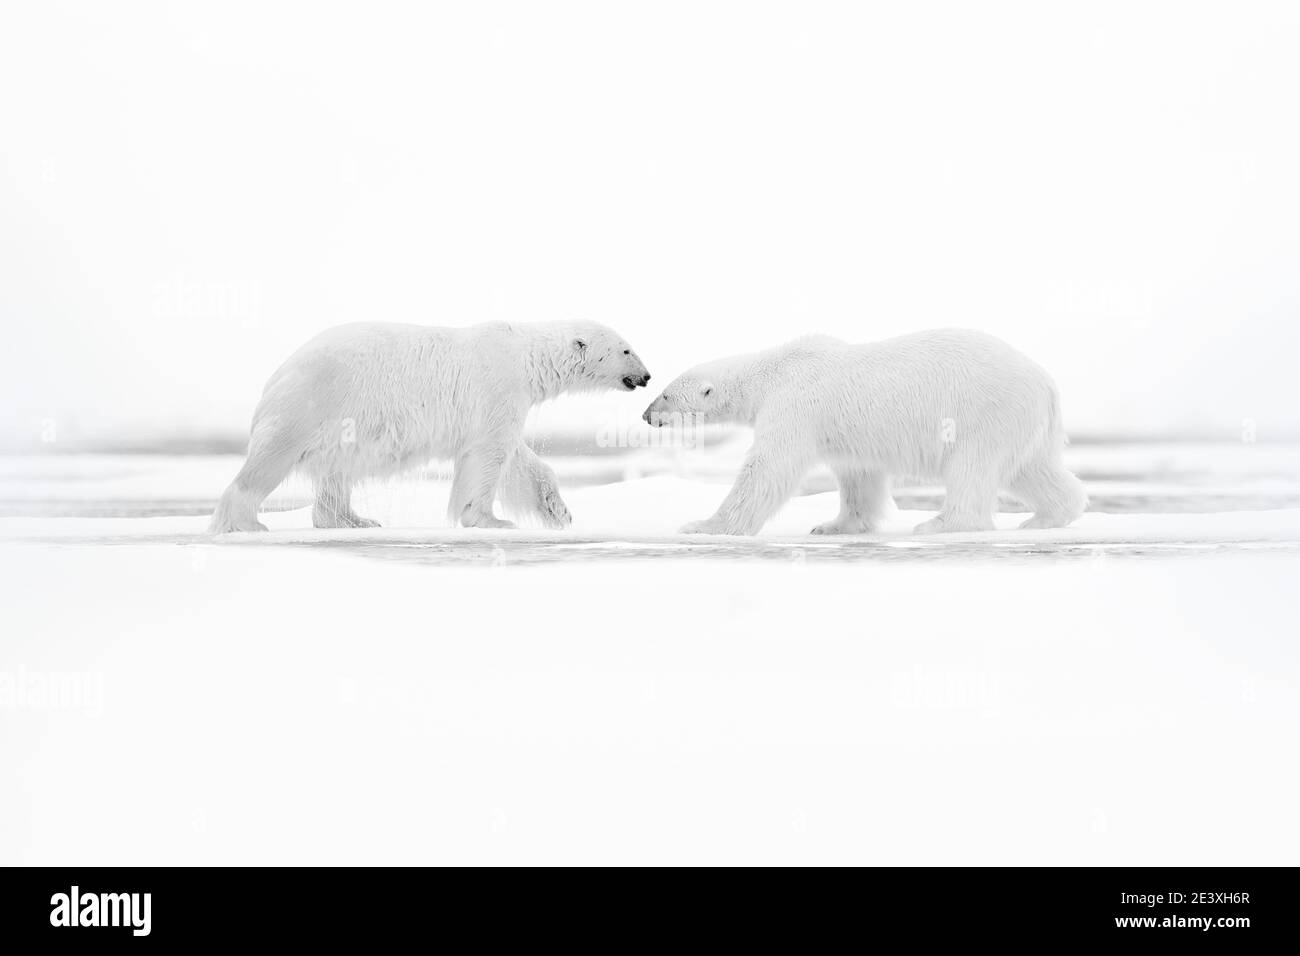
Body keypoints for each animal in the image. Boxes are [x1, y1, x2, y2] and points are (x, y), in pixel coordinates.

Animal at [208, 320, 650, 533]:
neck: (524, 357)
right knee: (270, 460)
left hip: (341, 424)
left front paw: (558, 511)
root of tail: (277, 375)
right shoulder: (497, 388)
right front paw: (489, 520)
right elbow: (488, 458)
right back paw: (246, 521)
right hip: (315, 401)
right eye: (626, 349)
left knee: (337, 471)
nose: (646, 376)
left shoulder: (504, 404)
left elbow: (519, 459)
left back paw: (355, 519)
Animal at [642, 329, 1087, 536]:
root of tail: (1047, 383)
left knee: (972, 470)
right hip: (1023, 422)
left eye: (665, 394)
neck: (772, 372)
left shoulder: (795, 404)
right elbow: (859, 476)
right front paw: (833, 526)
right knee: (1033, 469)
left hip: (985, 412)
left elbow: (768, 469)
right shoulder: (844, 433)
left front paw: (702, 525)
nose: (646, 415)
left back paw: (939, 524)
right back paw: (1046, 517)